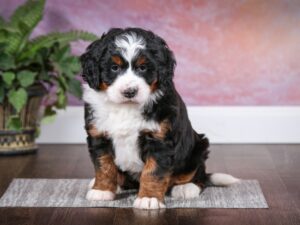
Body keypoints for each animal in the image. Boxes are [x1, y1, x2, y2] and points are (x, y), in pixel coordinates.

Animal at [79, 27, 239, 209]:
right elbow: (104, 166)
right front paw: (102, 190)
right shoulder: (98, 135)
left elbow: (153, 172)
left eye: (143, 68)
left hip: (198, 148)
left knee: (199, 175)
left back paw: (186, 188)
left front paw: (149, 198)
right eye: (114, 68)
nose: (130, 91)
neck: (126, 107)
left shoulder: (160, 140)